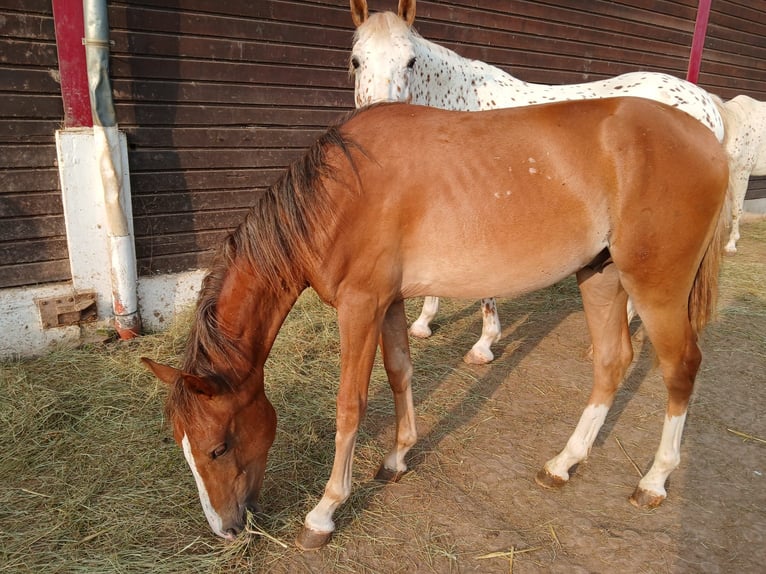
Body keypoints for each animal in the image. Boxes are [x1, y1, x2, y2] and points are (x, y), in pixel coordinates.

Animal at [142, 99, 732, 552]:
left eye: (217, 448)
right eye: (184, 446)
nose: (225, 529)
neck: (337, 195)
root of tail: (709, 139)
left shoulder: (360, 306)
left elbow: (351, 403)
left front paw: (325, 511)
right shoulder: (389, 303)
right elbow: (400, 372)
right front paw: (398, 456)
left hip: (655, 288)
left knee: (681, 368)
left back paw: (655, 479)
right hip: (601, 275)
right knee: (612, 362)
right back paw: (565, 462)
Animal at [352, 0, 728, 364]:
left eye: (411, 60)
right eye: (356, 61)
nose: (381, 122)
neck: (454, 102)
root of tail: (706, 102)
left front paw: (484, 345)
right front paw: (423, 323)